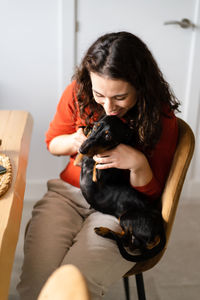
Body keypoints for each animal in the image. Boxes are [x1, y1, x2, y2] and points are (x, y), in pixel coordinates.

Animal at [76, 116, 166, 262]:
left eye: (108, 136)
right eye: (96, 127)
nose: (82, 149)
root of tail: (161, 227)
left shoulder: (99, 174)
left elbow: (99, 161)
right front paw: (85, 129)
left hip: (125, 217)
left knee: (126, 241)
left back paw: (104, 231)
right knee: (130, 242)